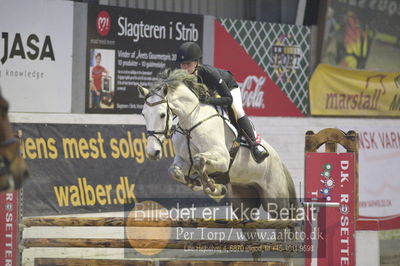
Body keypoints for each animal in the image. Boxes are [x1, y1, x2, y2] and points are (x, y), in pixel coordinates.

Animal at [138, 68, 296, 260]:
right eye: (144, 114)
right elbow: (174, 171)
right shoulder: (182, 160)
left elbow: (200, 160)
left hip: (275, 203)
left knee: (283, 239)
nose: (152, 152)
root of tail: (280, 161)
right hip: (244, 205)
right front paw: (198, 183)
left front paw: (214, 188)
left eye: (162, 114)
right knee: (255, 243)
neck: (190, 121)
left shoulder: (222, 159)